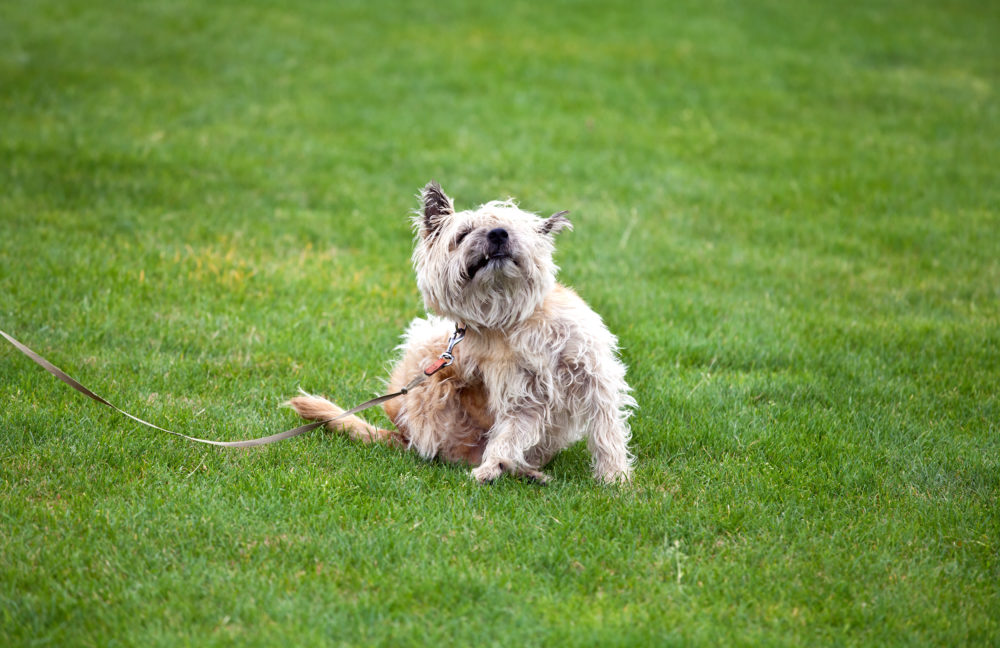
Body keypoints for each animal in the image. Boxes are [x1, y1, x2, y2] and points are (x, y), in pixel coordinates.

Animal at [286, 180, 636, 484]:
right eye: (463, 233)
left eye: (511, 227)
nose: (498, 234)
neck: (512, 318)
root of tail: (402, 436)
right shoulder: (522, 397)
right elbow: (509, 435)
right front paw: (492, 467)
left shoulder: (592, 376)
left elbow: (606, 431)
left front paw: (615, 478)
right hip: (426, 356)